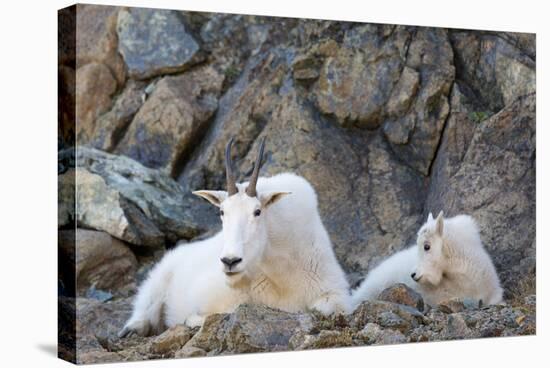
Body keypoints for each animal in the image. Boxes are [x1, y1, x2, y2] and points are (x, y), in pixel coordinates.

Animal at [119, 137, 354, 336]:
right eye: (222, 212)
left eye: (257, 211)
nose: (230, 261)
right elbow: (220, 311)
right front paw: (193, 320)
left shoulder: (334, 292)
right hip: (159, 279)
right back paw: (132, 329)